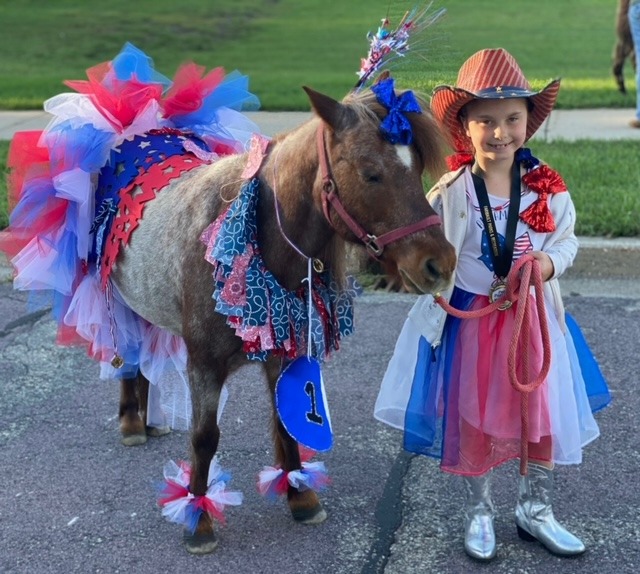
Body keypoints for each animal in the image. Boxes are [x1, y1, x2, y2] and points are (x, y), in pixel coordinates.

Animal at [112, 84, 458, 552]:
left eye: (418, 167)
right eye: (371, 173)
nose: (440, 263)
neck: (249, 241)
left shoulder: (283, 354)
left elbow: (285, 423)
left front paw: (300, 496)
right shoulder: (203, 364)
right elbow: (204, 437)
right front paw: (197, 519)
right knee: (126, 357)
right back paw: (131, 419)